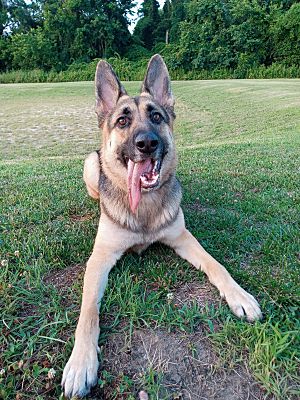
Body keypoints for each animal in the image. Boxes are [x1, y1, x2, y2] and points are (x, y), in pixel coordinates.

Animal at [61, 54, 262, 398]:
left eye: (156, 116)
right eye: (123, 121)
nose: (147, 143)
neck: (144, 206)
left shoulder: (183, 238)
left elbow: (217, 265)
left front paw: (240, 296)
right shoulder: (99, 258)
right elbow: (88, 312)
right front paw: (81, 362)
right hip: (90, 163)